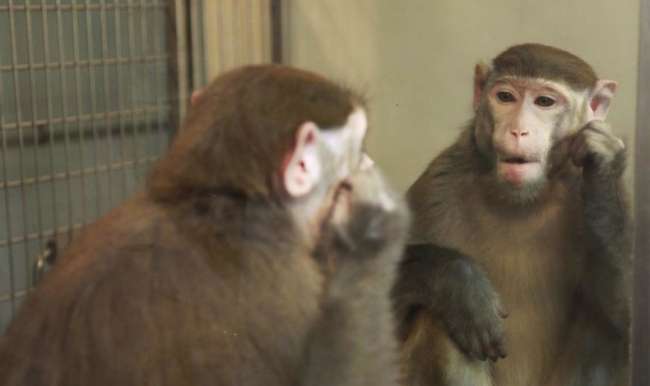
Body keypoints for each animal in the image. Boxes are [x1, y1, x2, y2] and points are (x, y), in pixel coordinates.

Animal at [392, 43, 632, 386]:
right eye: (505, 97)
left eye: (544, 102)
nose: (518, 130)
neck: (523, 199)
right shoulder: (438, 184)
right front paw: (457, 282)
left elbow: (628, 319)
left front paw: (604, 164)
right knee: (437, 321)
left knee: (605, 326)